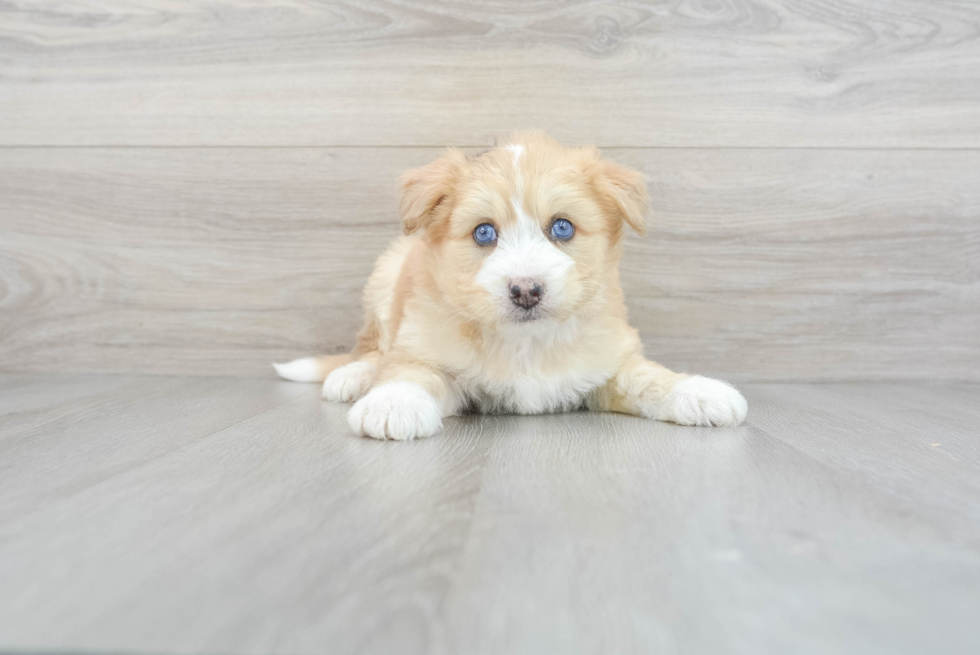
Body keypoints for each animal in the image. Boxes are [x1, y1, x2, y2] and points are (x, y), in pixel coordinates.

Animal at [276, 133, 752, 440]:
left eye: (562, 227)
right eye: (484, 232)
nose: (526, 290)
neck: (527, 342)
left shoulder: (607, 362)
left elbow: (647, 377)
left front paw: (696, 390)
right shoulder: (429, 349)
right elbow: (411, 370)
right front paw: (394, 403)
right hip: (386, 274)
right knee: (373, 348)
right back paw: (354, 376)